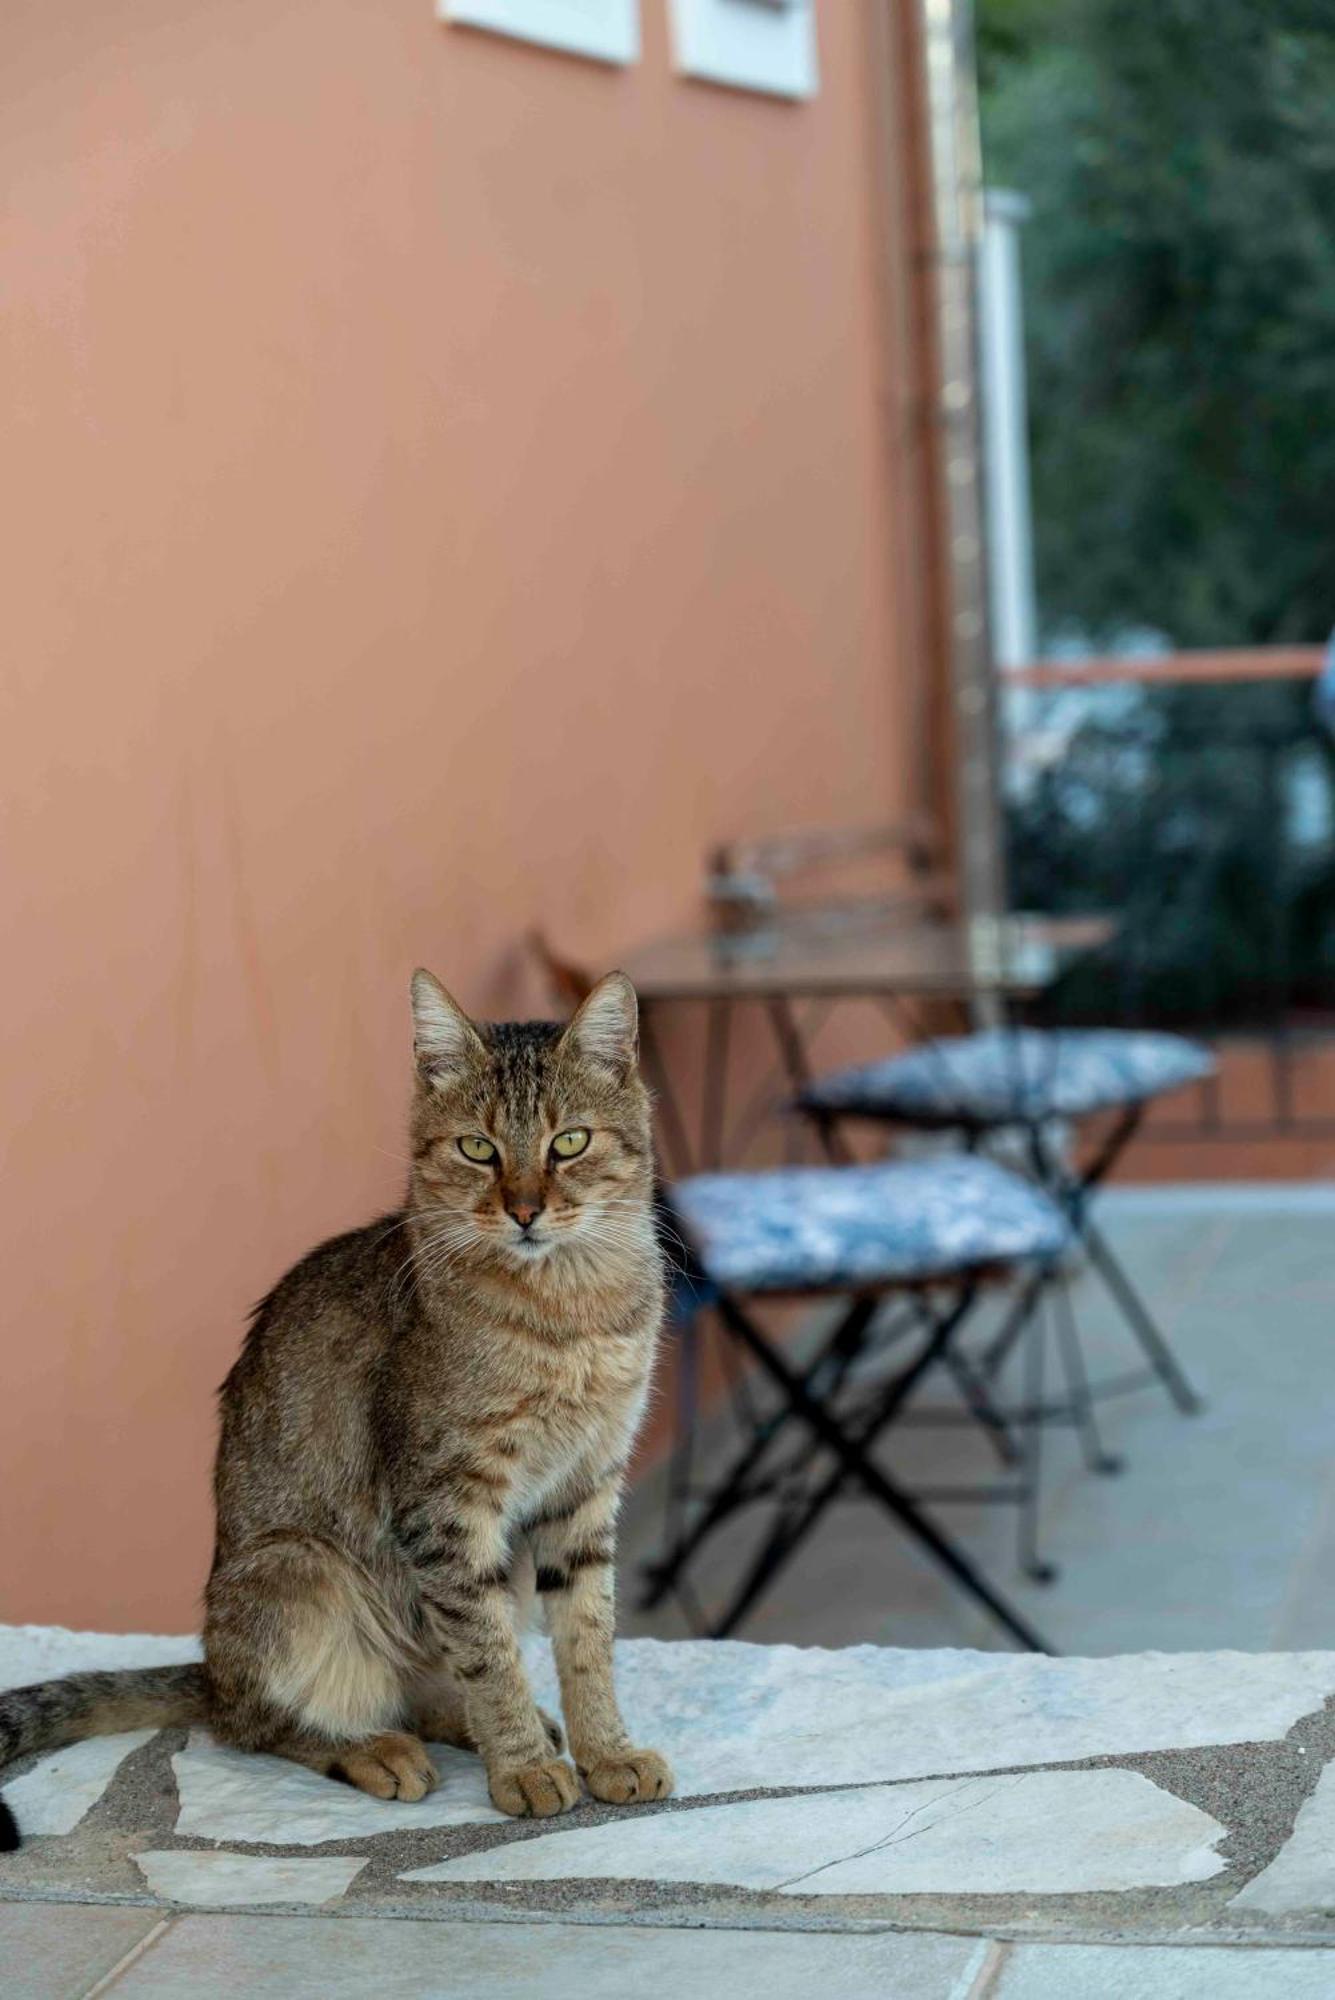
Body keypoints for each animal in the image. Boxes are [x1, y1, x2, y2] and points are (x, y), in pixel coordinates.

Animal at [0, 972, 667, 1840]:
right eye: (477, 1149)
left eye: (570, 1143)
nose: (523, 1210)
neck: (571, 1308)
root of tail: (210, 1666)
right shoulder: (445, 1506)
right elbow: (488, 1653)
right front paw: (521, 1767)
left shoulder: (586, 1486)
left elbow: (586, 1637)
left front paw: (605, 1752)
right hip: (300, 1571)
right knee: (255, 1720)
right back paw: (374, 1750)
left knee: (425, 1684)